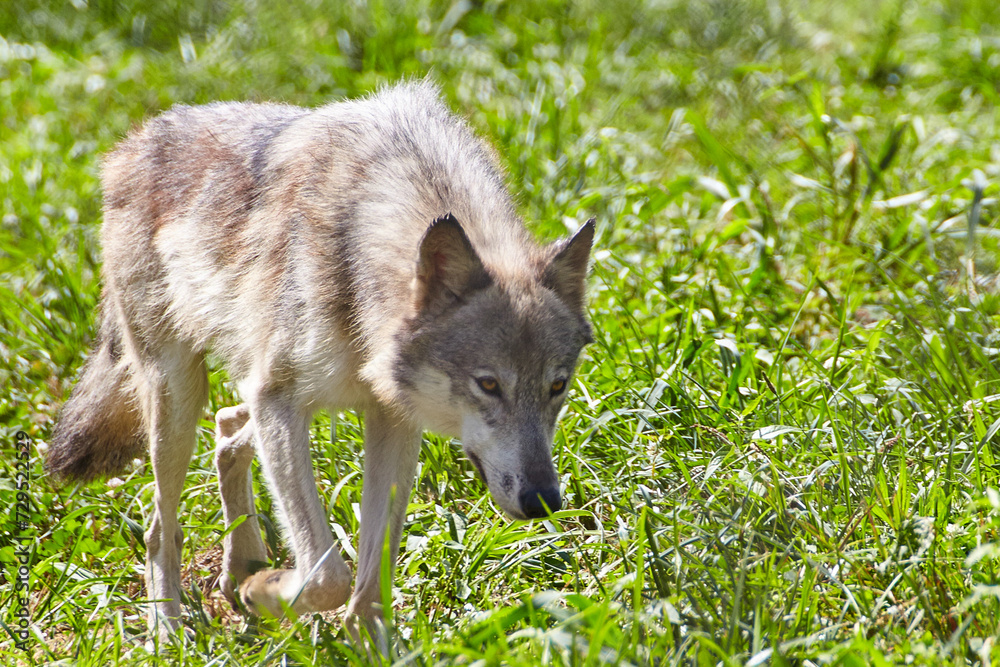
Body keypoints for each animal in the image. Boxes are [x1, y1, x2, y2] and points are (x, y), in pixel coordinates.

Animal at [47, 81, 594, 641]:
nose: (545, 500)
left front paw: (368, 644)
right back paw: (170, 629)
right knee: (162, 525)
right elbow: (329, 575)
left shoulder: (391, 417)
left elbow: (369, 590)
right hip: (180, 398)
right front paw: (265, 592)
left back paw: (241, 567)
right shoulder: (281, 400)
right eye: (488, 385)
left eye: (557, 386)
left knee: (228, 429)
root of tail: (130, 146)